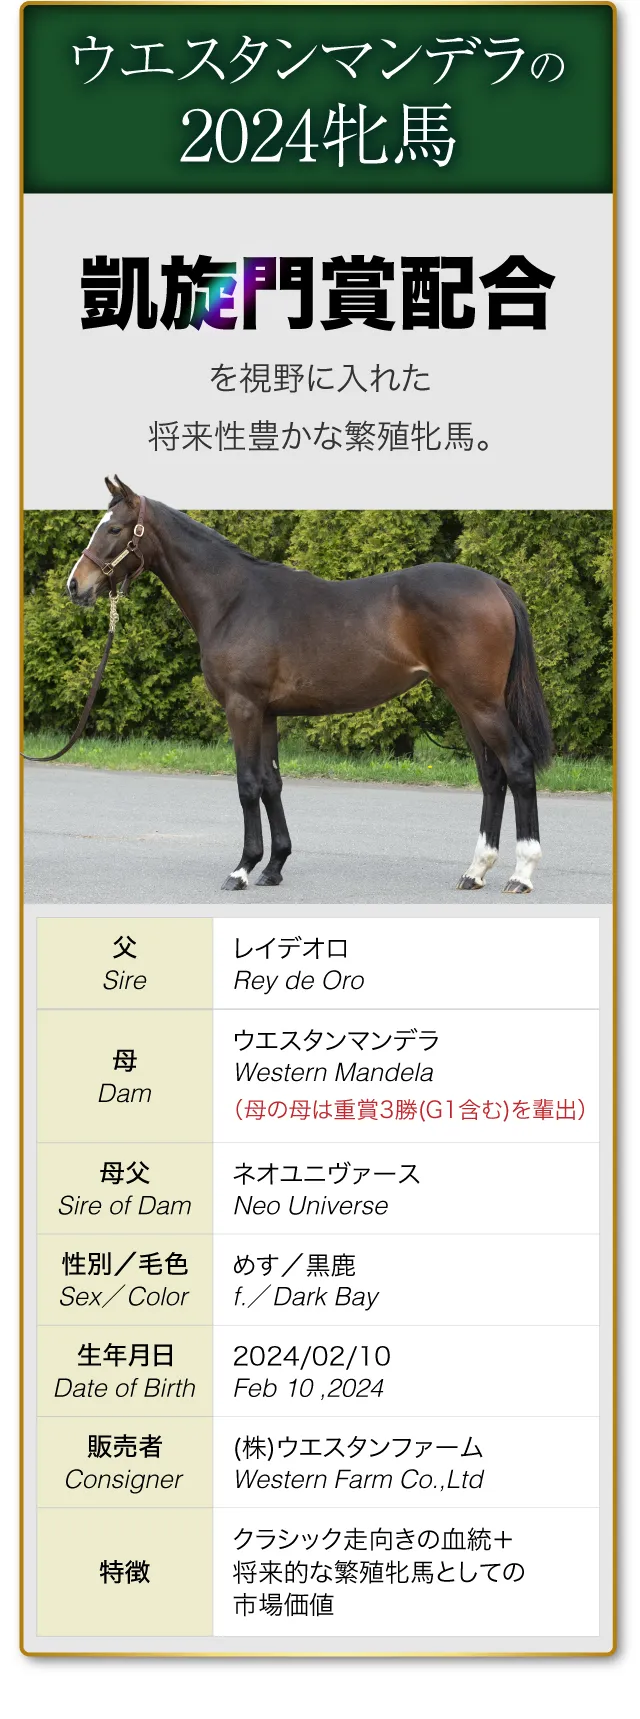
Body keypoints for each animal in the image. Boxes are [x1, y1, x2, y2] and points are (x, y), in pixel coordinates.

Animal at [66, 476, 553, 895]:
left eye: (113, 528)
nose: (76, 586)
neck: (233, 599)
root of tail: (494, 584)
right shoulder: (266, 713)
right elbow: (271, 783)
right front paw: (274, 866)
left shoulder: (242, 708)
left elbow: (247, 784)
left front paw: (242, 869)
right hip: (465, 701)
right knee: (492, 775)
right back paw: (475, 871)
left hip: (481, 702)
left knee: (517, 765)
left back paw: (522, 874)